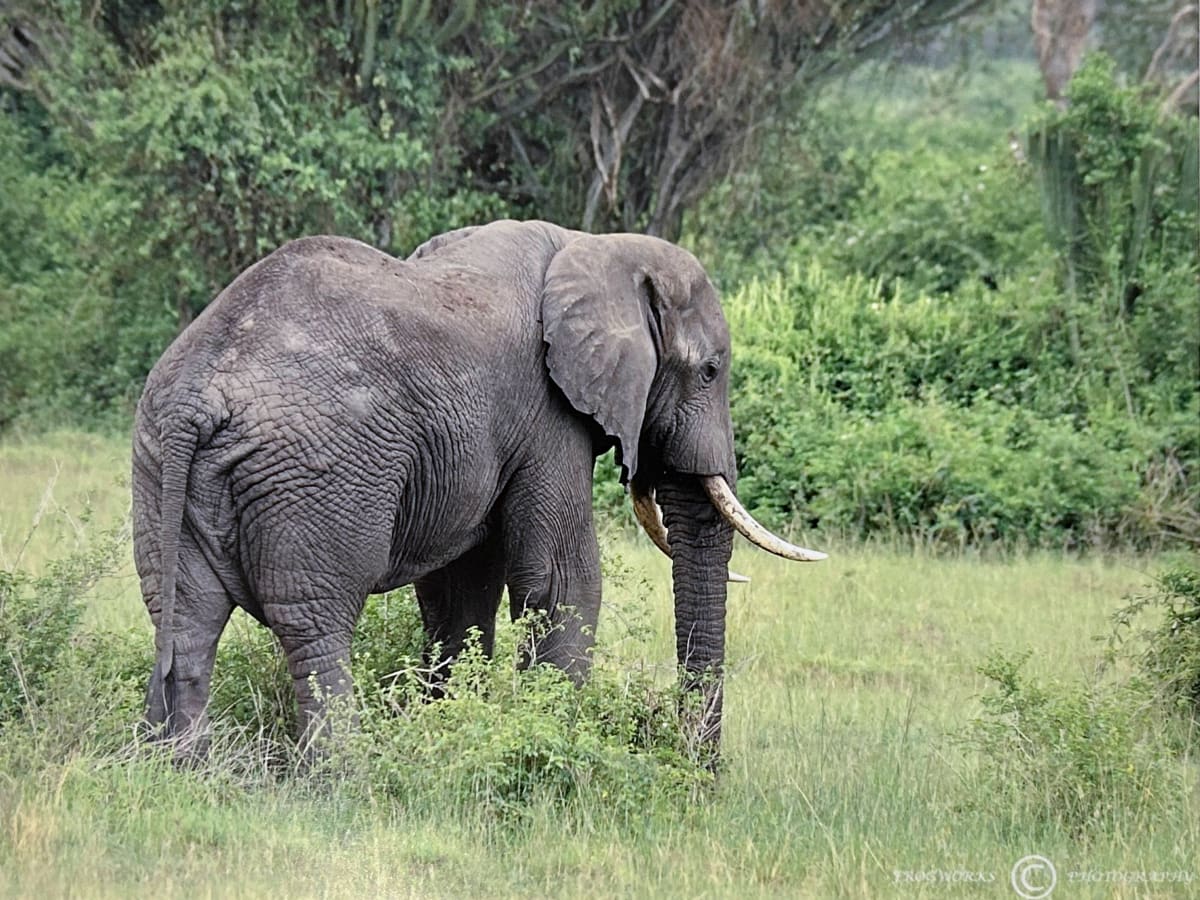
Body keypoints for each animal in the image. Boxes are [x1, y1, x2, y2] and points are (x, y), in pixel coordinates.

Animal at [131, 217, 825, 763]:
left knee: (185, 620)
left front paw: (447, 728)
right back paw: (339, 779)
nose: (702, 775)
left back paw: (179, 770)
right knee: (314, 624)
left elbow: (460, 591)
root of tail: (196, 394)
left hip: (157, 464)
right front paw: (552, 739)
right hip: (315, 478)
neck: (595, 247)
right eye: (709, 371)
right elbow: (561, 580)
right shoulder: (548, 416)